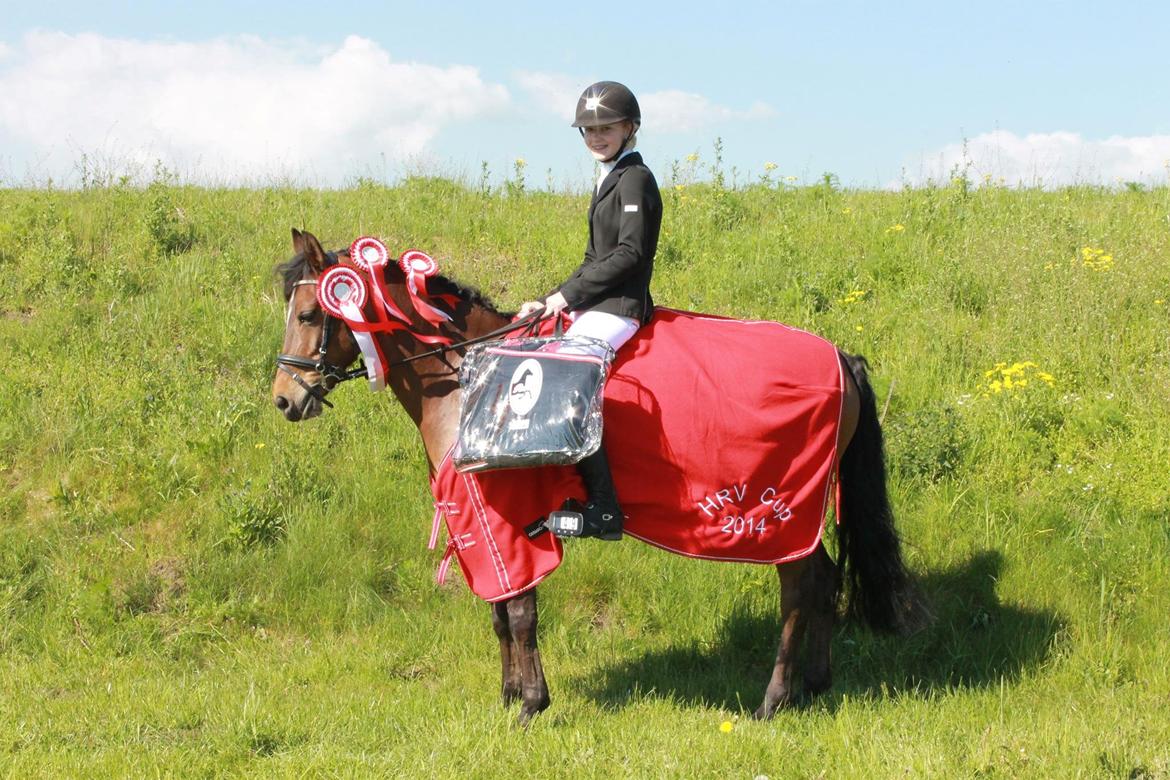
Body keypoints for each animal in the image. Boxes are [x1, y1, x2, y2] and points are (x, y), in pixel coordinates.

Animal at [271, 229, 912, 725]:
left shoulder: (508, 524)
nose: (284, 400)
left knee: (799, 590)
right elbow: (499, 613)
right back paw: (815, 687)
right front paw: (508, 697)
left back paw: (772, 701)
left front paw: (532, 704)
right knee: (824, 580)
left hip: (780, 517)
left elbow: (521, 613)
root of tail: (841, 359)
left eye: (309, 314)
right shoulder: (479, 524)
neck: (465, 378)